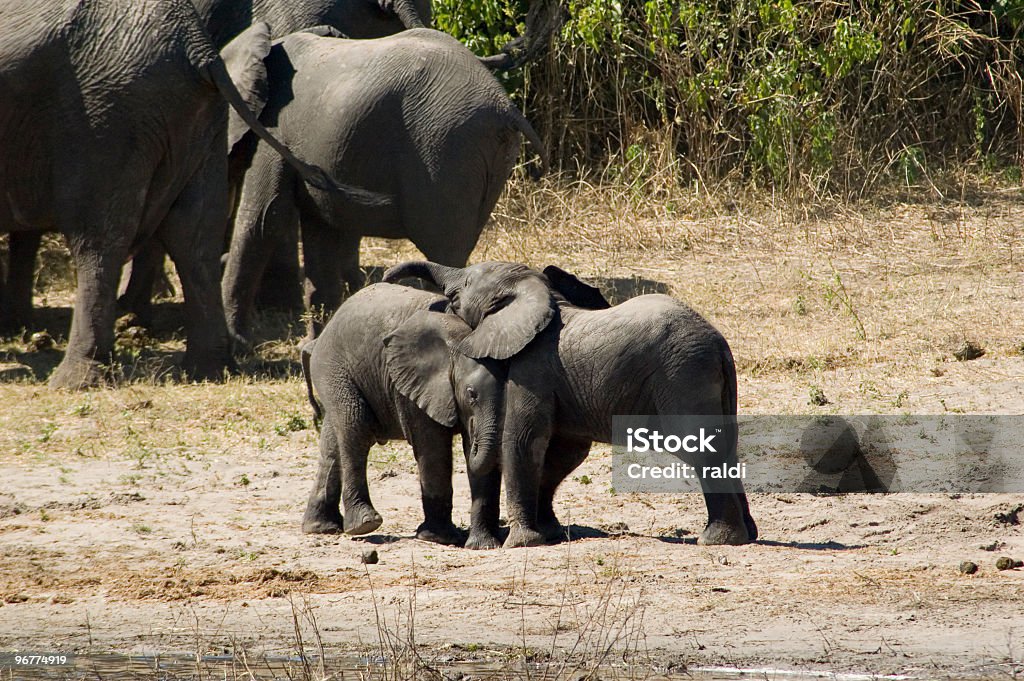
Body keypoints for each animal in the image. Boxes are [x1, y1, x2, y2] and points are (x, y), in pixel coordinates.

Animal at [0, 0, 376, 387]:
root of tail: (197, 48)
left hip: (105, 116)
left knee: (98, 238)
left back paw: (76, 380)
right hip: (186, 116)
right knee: (194, 234)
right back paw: (209, 367)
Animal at [221, 28, 548, 342]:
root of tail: (505, 105)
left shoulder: (274, 129)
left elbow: (263, 219)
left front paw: (239, 344)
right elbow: (320, 231)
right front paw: (310, 346)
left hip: (446, 150)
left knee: (444, 251)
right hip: (486, 154)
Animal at [299, 280, 507, 548]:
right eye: (471, 394)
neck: (457, 340)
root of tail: (318, 341)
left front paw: (482, 544)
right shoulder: (411, 388)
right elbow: (432, 448)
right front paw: (440, 538)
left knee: (332, 442)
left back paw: (321, 528)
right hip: (334, 370)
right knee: (356, 429)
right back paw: (365, 524)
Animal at [385, 260, 761, 548]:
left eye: (461, 289)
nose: (387, 276)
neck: (541, 296)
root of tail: (719, 343)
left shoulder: (532, 368)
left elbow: (523, 441)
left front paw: (521, 543)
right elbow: (564, 450)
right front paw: (549, 533)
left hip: (682, 374)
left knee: (700, 447)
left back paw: (716, 540)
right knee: (727, 445)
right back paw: (747, 535)